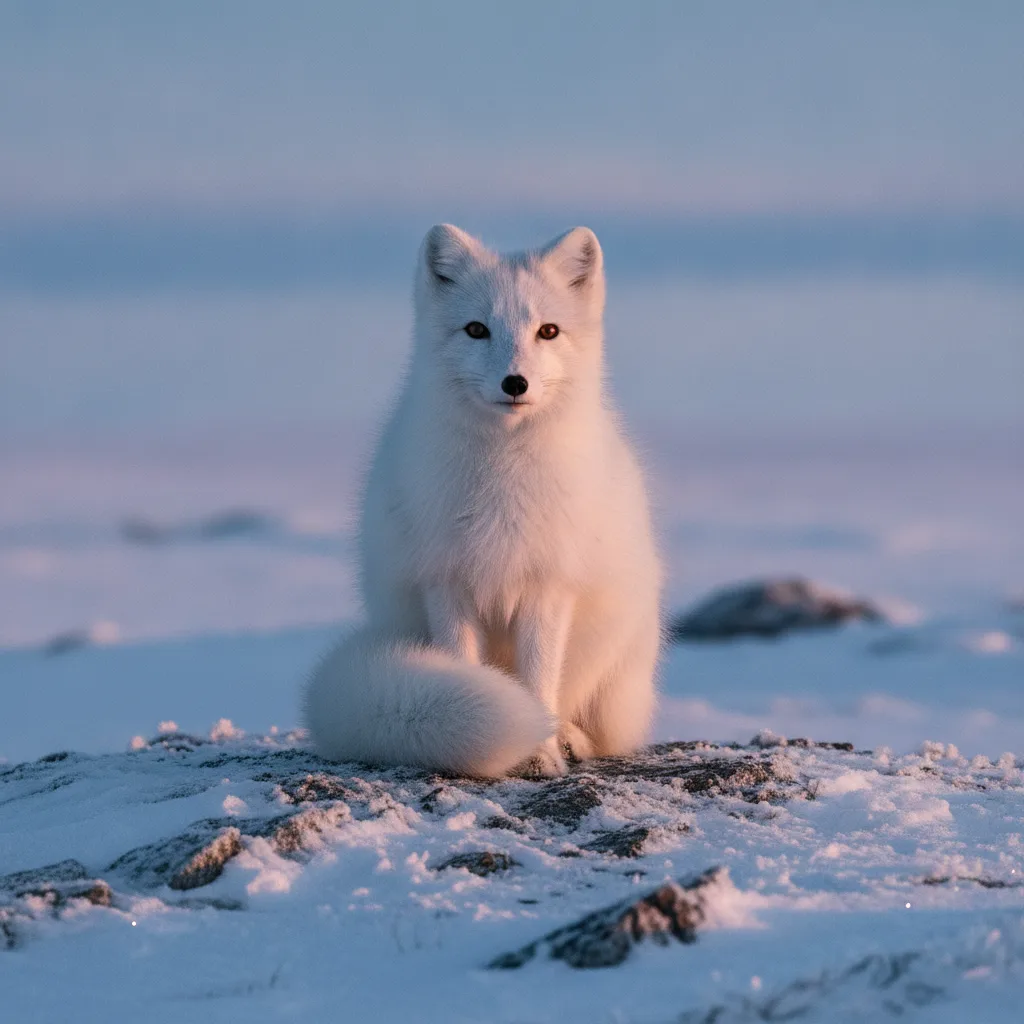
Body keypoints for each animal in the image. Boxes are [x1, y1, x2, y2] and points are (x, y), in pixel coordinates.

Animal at [304, 224, 662, 777]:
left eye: (548, 331)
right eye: (476, 329)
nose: (515, 382)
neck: (502, 478)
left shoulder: (548, 586)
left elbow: (539, 681)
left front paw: (542, 753)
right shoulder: (446, 581)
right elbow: (462, 666)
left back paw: (570, 739)